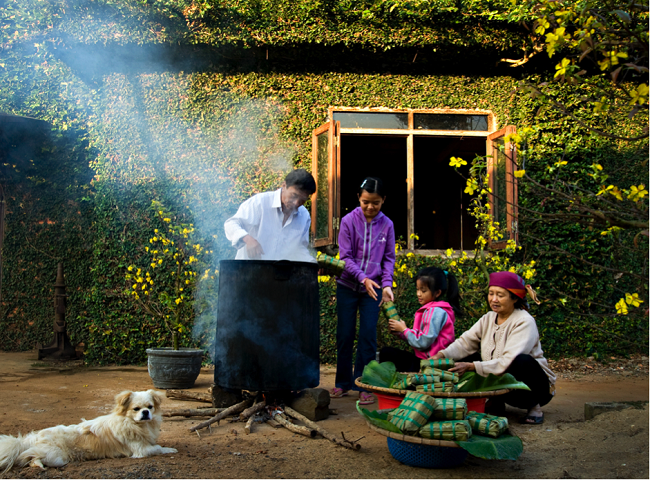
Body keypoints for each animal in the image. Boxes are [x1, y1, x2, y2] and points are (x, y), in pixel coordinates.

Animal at [0, 388, 176, 470]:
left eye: (150, 407)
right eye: (136, 409)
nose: (145, 413)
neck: (137, 424)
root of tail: (32, 439)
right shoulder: (141, 450)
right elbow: (158, 448)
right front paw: (171, 450)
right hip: (56, 458)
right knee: (28, 457)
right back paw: (38, 465)